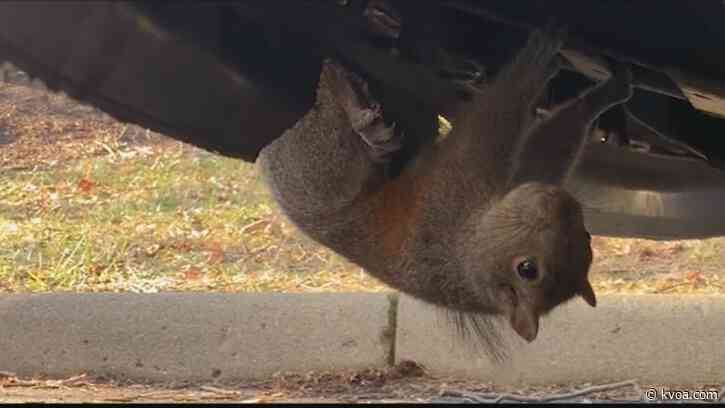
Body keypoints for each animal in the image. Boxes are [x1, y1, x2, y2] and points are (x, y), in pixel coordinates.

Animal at [258, 27, 633, 352]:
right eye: (589, 236)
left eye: (528, 270)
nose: (560, 200)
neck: (467, 253)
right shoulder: (504, 185)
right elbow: (543, 149)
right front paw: (605, 92)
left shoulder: (448, 196)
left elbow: (487, 126)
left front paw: (540, 50)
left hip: (323, 159)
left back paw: (345, 91)